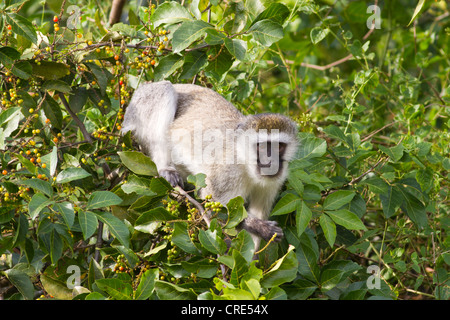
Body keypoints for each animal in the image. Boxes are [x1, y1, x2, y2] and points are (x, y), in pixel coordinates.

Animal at [122, 81, 298, 251]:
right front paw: (258, 227)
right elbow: (214, 205)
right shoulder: (227, 172)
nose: (271, 161)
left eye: (279, 146)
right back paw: (165, 168)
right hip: (139, 108)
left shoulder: (273, 182)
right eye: (261, 146)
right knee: (164, 90)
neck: (247, 165)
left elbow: (257, 211)